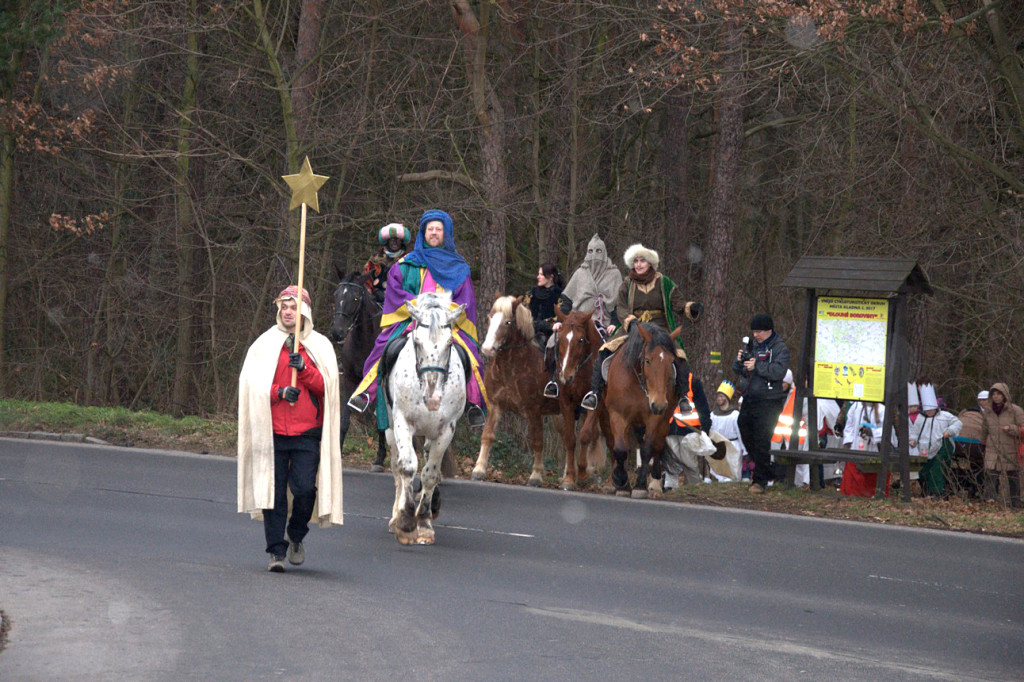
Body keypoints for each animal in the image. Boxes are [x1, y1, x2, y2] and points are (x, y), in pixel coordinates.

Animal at [331, 268, 387, 471]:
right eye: (336, 295)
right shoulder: (349, 380)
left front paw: (379, 459)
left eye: (355, 298)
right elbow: (344, 420)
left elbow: (381, 422)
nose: (337, 332)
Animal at [385, 288, 464, 544]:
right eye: (417, 341)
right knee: (397, 467)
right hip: (390, 427)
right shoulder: (402, 422)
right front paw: (406, 520)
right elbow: (408, 467)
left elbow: (430, 474)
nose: (433, 398)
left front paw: (424, 522)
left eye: (449, 342)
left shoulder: (446, 429)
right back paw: (395, 516)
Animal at [581, 321, 684, 497]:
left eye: (671, 361)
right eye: (648, 360)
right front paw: (621, 481)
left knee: (658, 445)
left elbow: (647, 449)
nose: (659, 404)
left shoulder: (655, 418)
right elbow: (621, 449)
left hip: (662, 419)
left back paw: (655, 483)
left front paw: (640, 486)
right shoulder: (618, 414)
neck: (638, 382)